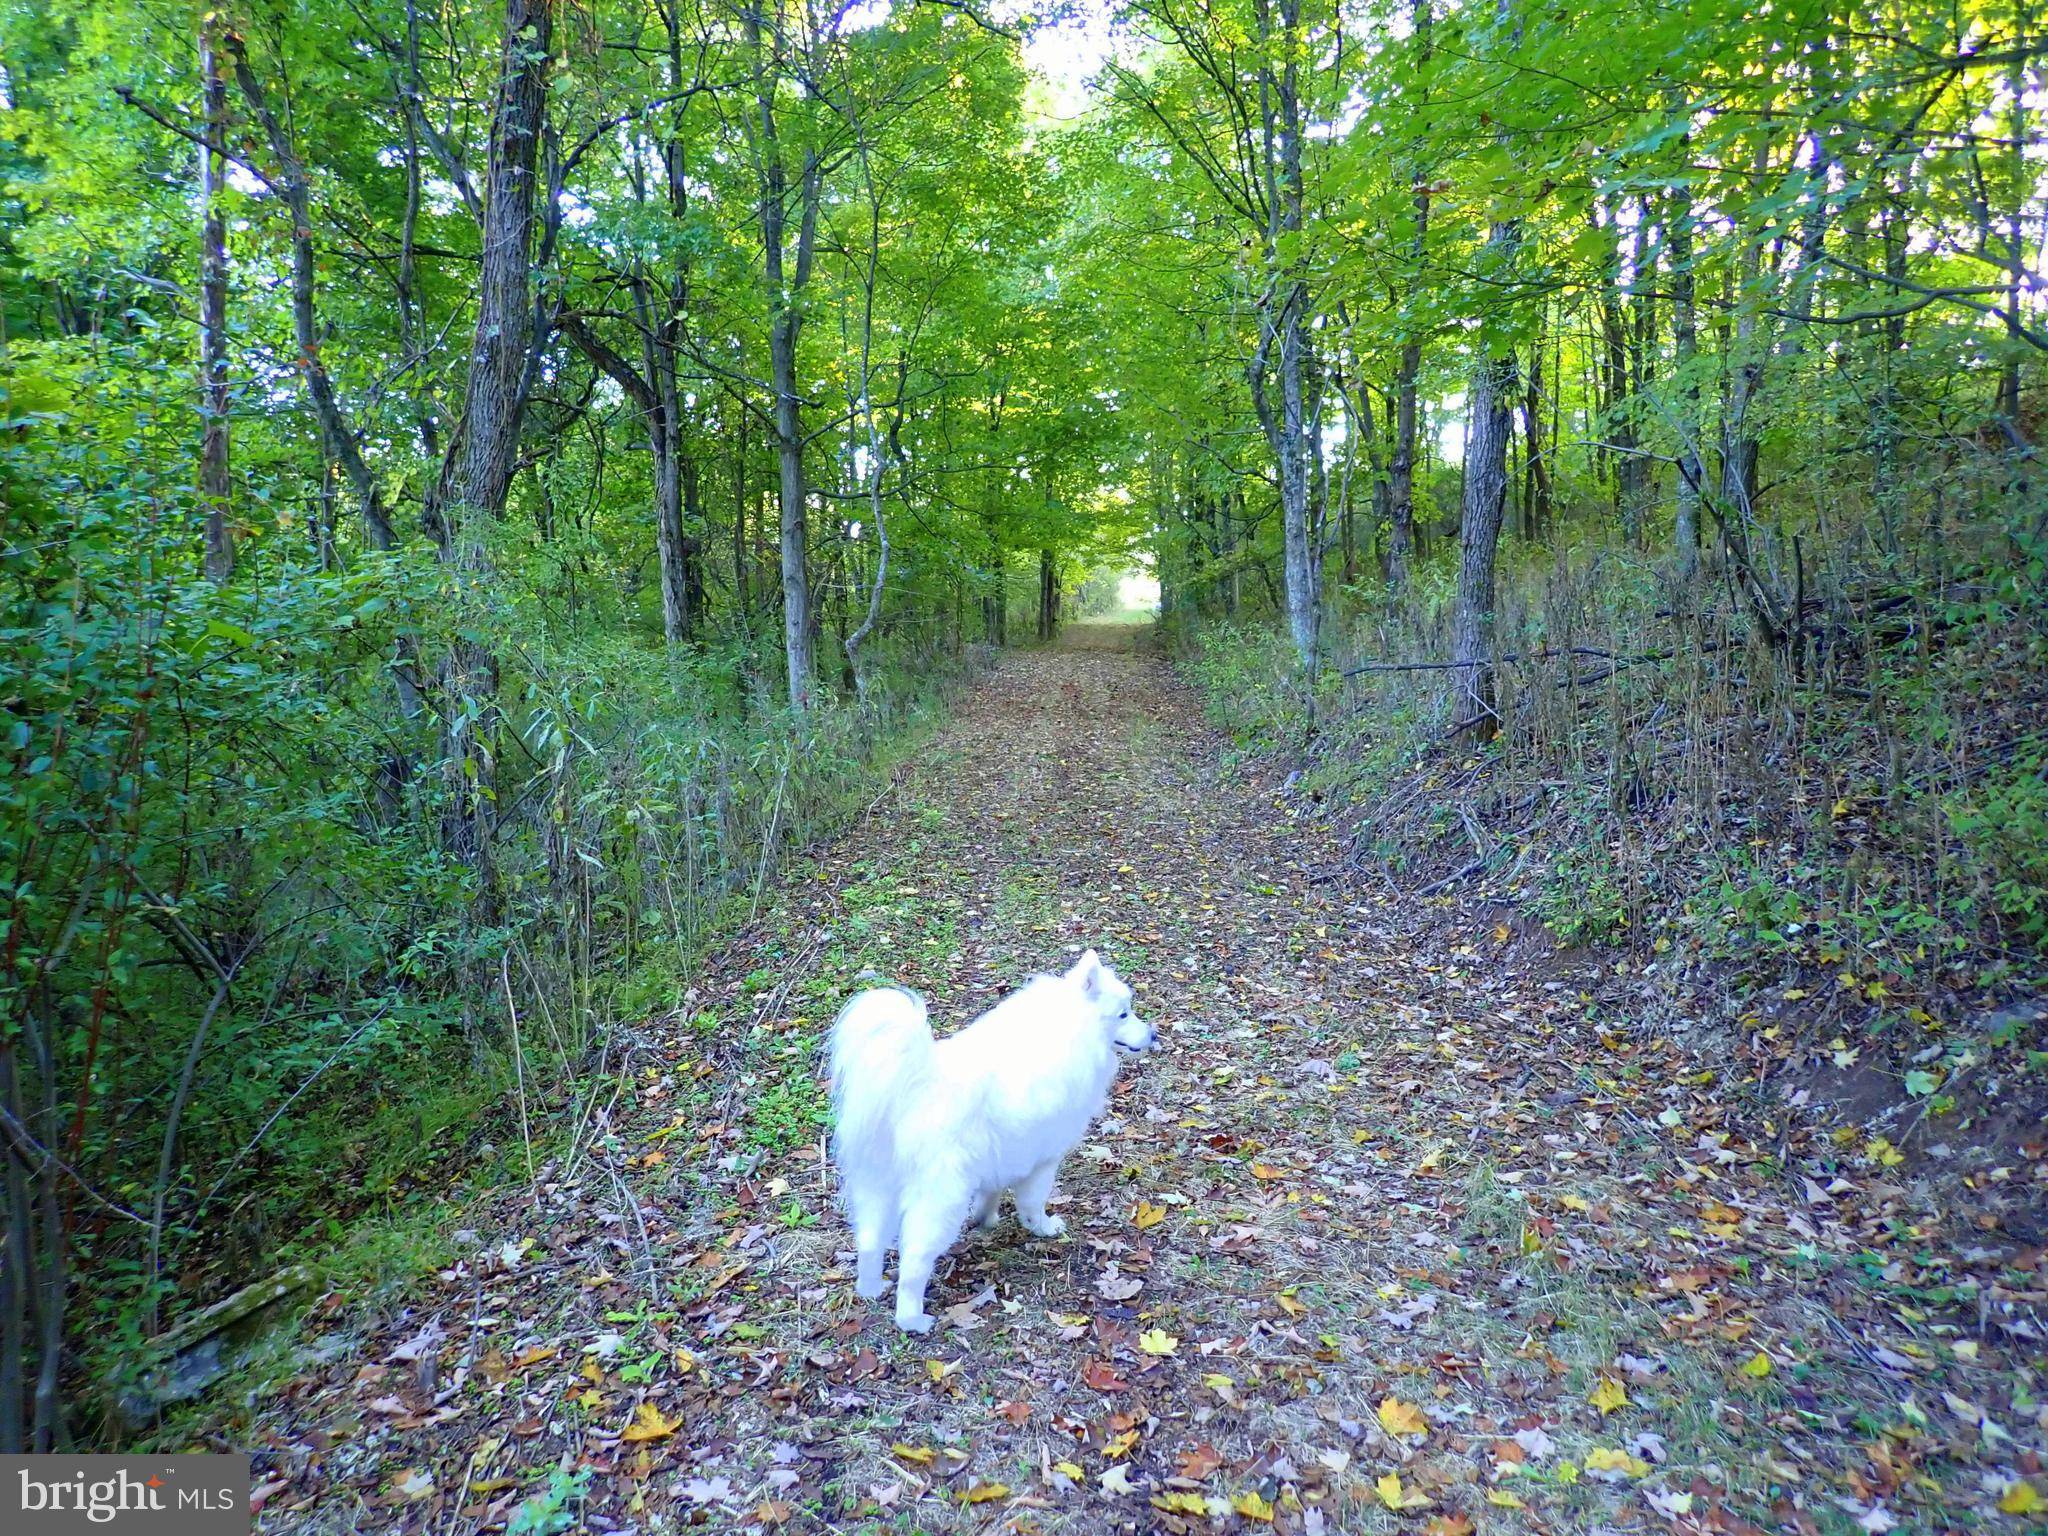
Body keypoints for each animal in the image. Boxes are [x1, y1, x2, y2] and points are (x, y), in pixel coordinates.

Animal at [827, 950, 1155, 1335]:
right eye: (1123, 1014)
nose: (1153, 1034)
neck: (1070, 1028)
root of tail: (915, 1088)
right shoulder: (1043, 1159)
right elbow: (1033, 1202)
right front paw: (1043, 1227)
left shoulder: (1002, 1154)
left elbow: (992, 1191)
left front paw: (986, 1218)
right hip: (941, 1197)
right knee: (914, 1260)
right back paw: (913, 1319)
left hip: (877, 1184)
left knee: (869, 1239)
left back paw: (870, 1288)